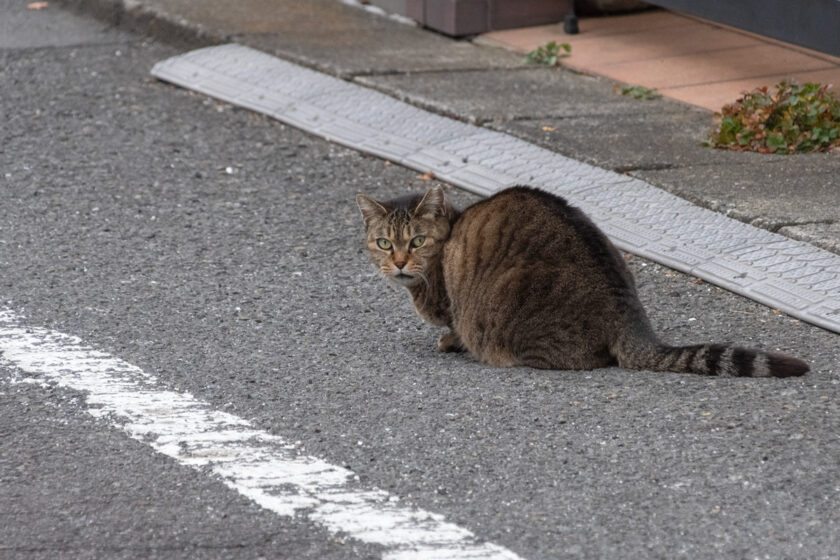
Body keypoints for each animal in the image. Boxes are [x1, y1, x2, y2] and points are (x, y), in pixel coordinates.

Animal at [358, 186, 812, 378]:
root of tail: (629, 315)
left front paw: (450, 342)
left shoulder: (452, 305)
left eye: (417, 241)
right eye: (384, 243)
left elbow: (453, 325)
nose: (399, 262)